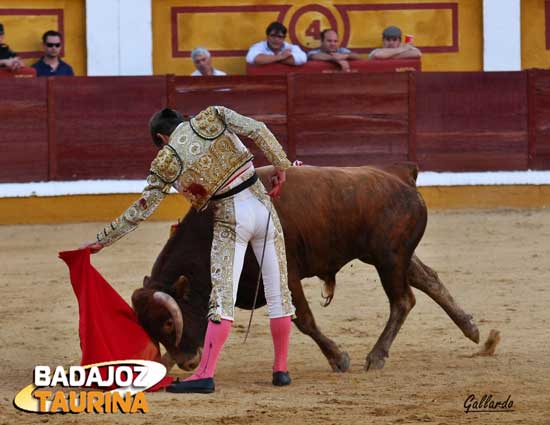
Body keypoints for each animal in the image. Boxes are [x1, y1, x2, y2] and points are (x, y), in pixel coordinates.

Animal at [132, 162, 480, 372]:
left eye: (168, 323)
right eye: (150, 327)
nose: (187, 362)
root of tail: (402, 176)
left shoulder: (285, 276)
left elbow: (304, 319)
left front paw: (339, 359)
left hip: (389, 258)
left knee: (403, 300)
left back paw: (376, 356)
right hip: (386, 255)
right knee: (428, 278)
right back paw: (473, 329)